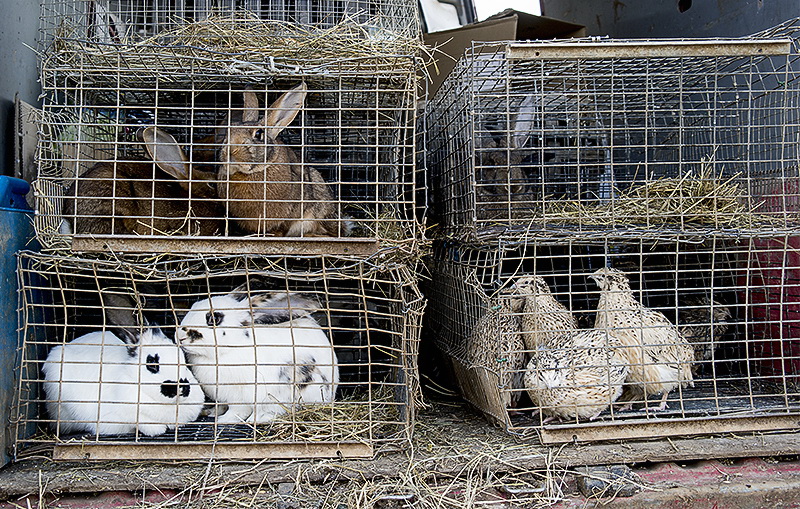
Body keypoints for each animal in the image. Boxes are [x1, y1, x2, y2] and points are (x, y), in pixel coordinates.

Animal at [175, 284, 338, 422]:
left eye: (214, 318)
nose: (179, 336)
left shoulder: (241, 397)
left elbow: (236, 412)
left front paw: (223, 420)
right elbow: (222, 406)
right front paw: (212, 413)